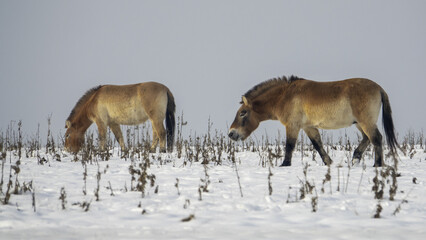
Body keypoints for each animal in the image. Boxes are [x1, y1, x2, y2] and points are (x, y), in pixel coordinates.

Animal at [228, 76, 398, 166]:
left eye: (243, 113)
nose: (231, 134)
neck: (284, 96)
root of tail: (379, 88)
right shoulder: (308, 127)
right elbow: (318, 145)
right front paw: (329, 162)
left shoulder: (293, 126)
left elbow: (289, 146)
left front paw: (285, 164)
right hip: (359, 123)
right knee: (367, 139)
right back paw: (356, 157)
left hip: (366, 122)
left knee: (376, 138)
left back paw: (377, 164)